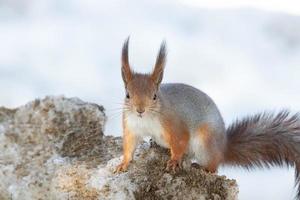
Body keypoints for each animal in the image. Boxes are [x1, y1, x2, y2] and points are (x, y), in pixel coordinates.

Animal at [115, 38, 300, 198]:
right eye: (127, 95)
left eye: (154, 96)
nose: (140, 110)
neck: (145, 120)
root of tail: (223, 147)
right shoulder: (131, 127)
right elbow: (129, 146)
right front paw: (123, 163)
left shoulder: (175, 124)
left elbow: (180, 141)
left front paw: (174, 161)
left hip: (205, 143)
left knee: (213, 167)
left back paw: (202, 167)